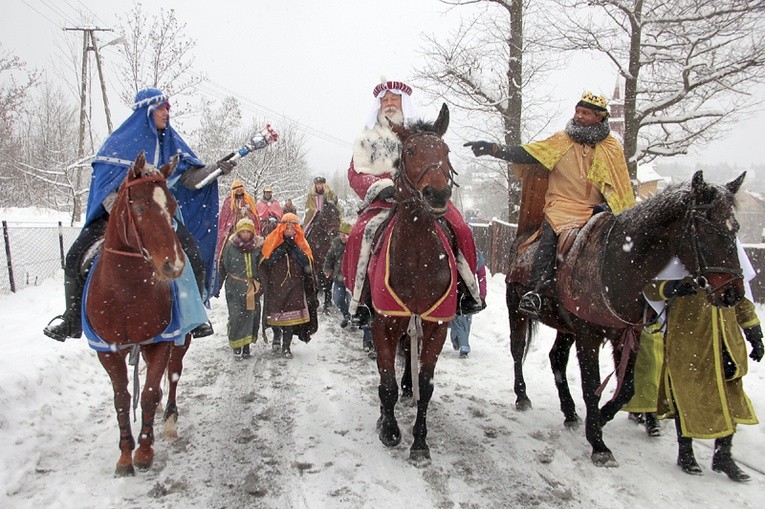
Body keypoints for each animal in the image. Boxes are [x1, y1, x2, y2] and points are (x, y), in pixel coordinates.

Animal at [84, 152, 189, 476]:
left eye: (173, 207)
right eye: (140, 206)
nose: (174, 265)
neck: (126, 292)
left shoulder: (162, 341)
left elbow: (150, 392)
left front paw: (144, 450)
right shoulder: (107, 350)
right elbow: (122, 399)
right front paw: (124, 455)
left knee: (174, 373)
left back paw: (169, 420)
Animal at [508, 170, 748, 464]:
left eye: (734, 229)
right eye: (706, 230)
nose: (733, 294)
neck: (619, 263)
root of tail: (523, 239)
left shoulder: (626, 335)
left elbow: (627, 388)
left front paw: (599, 420)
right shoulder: (589, 335)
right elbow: (591, 386)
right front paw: (598, 444)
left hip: (566, 327)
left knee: (557, 358)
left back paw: (570, 412)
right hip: (516, 309)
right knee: (518, 350)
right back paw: (522, 396)